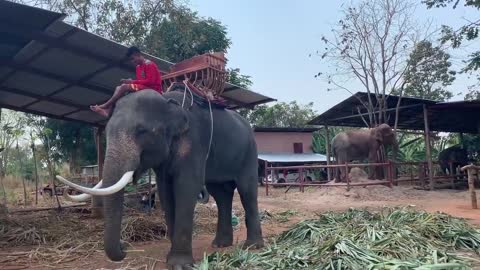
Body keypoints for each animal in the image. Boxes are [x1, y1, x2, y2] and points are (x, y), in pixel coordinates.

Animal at [59, 89, 266, 268]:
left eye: (141, 131)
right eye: (107, 131)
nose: (125, 245)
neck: (167, 101)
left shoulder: (194, 142)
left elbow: (186, 187)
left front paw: (180, 265)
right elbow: (165, 192)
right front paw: (171, 259)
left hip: (249, 151)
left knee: (247, 191)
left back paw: (252, 246)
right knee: (221, 194)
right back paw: (220, 244)